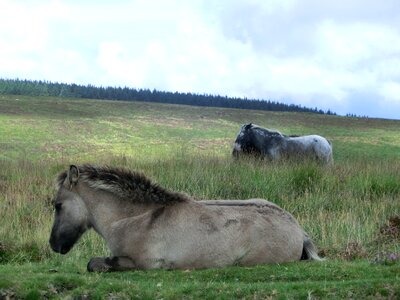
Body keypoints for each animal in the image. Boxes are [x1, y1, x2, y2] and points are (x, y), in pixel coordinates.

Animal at [50, 164, 324, 272]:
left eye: (58, 205)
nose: (53, 244)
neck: (136, 218)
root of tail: (298, 229)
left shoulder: (143, 264)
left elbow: (95, 263)